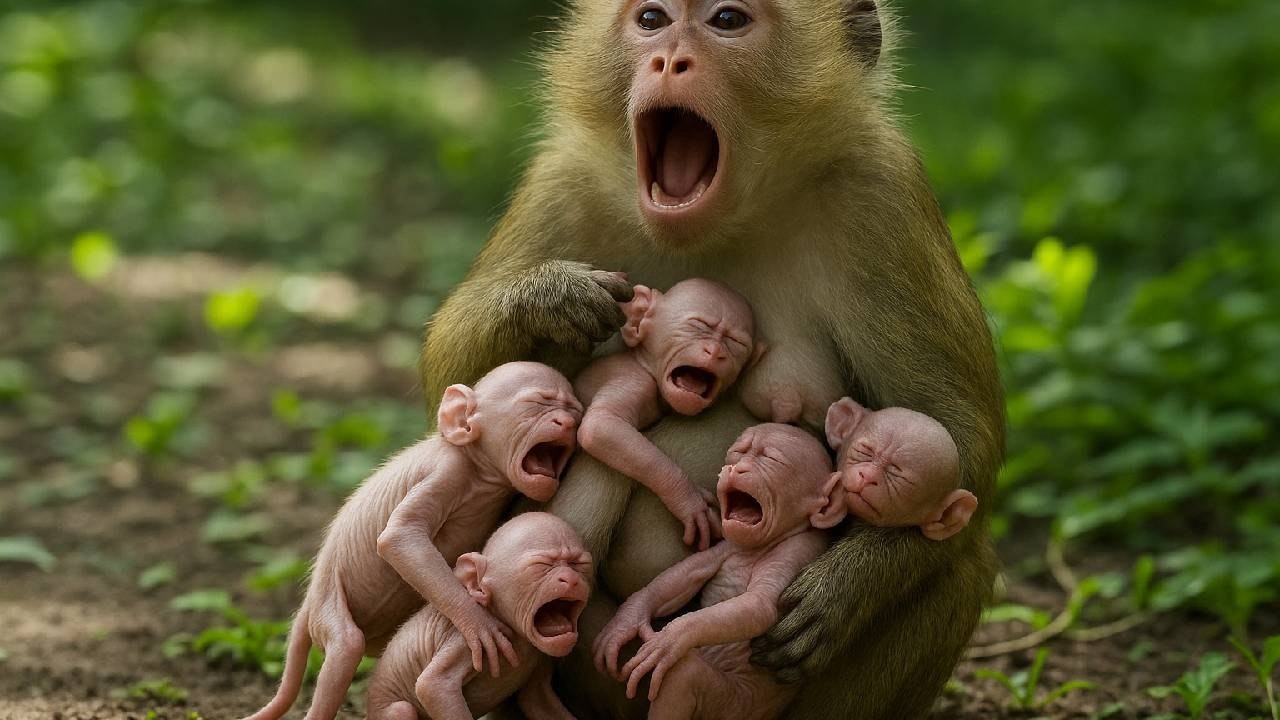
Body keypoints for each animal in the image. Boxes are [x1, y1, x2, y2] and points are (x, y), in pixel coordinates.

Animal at [418, 1, 1004, 718]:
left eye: (727, 19)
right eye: (651, 17)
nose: (669, 58)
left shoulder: (879, 196)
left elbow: (954, 433)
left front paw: (848, 585)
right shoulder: (564, 181)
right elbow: (457, 397)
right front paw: (547, 298)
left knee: (959, 559)